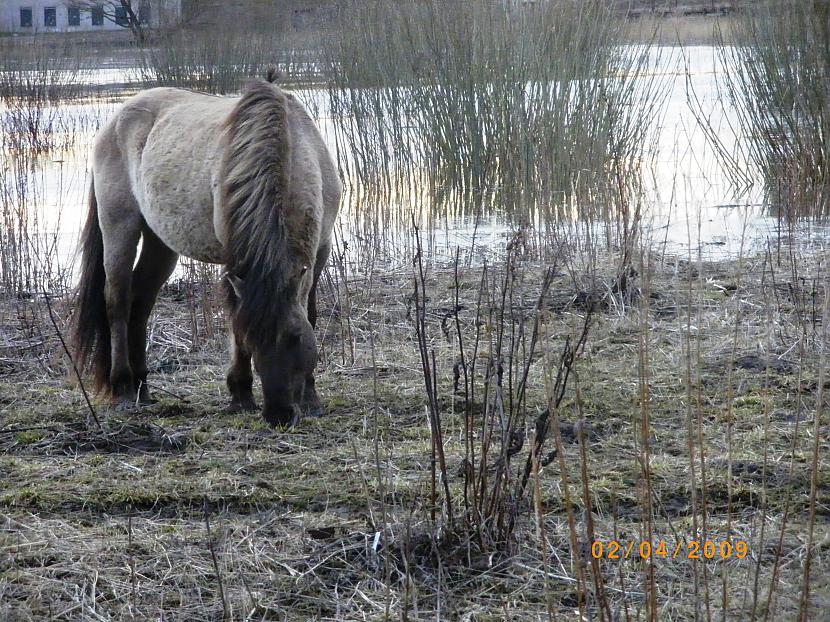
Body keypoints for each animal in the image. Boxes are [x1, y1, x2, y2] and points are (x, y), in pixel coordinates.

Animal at [71, 77, 342, 428]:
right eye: (253, 341)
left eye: (295, 337)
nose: (279, 415)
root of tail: (116, 119)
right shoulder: (236, 260)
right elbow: (237, 317)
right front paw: (240, 393)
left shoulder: (320, 250)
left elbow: (309, 312)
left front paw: (310, 398)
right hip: (120, 226)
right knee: (117, 302)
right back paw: (124, 388)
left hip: (160, 242)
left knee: (140, 302)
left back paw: (143, 386)